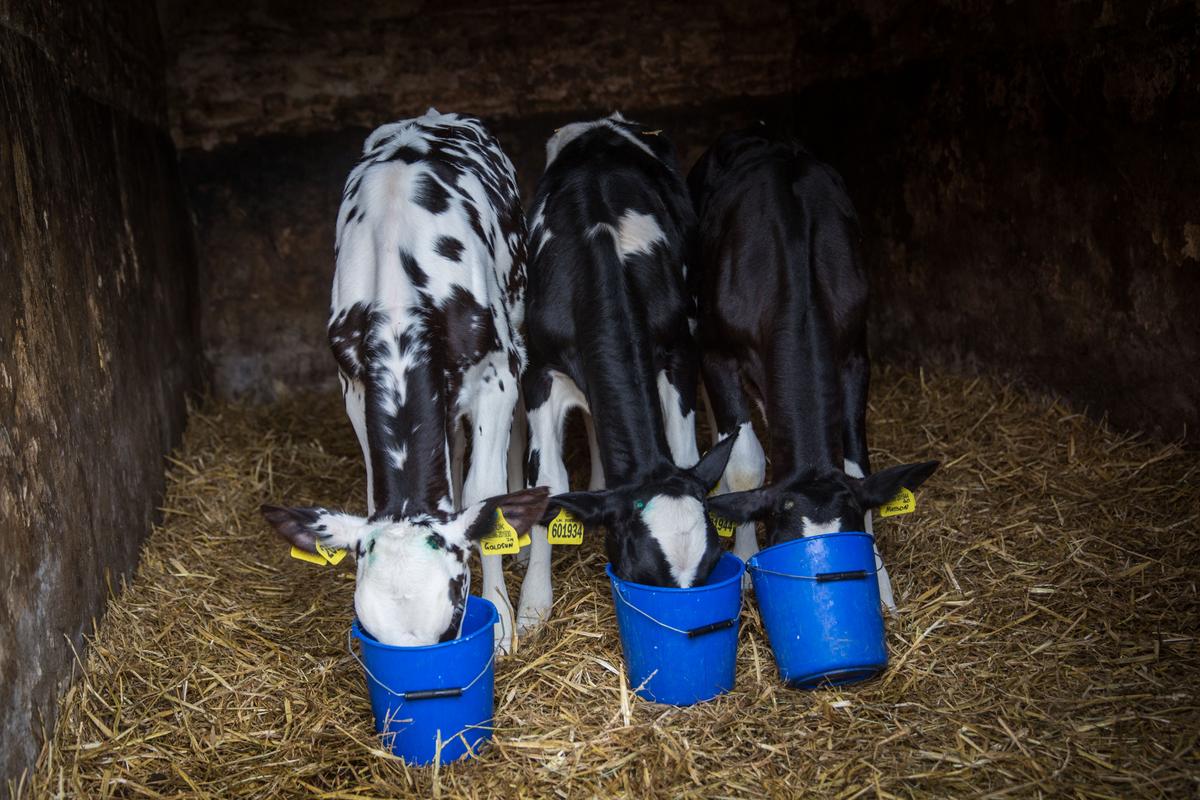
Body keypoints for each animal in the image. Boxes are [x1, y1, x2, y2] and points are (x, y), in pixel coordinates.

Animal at [261, 109, 547, 649]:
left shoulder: (496, 374)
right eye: (370, 630)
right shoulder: (353, 387)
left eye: (452, 623)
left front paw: (500, 617)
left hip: (518, 319)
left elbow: (484, 492)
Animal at [515, 112, 738, 635]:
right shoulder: (540, 374)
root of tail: (602, 123)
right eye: (640, 573)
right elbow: (547, 482)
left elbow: (685, 451)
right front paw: (532, 606)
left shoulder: (679, 356)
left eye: (713, 562)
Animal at [690, 125, 938, 609]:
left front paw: (879, 578)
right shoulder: (715, 353)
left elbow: (858, 465)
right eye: (782, 539)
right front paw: (744, 561)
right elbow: (745, 462)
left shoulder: (856, 355)